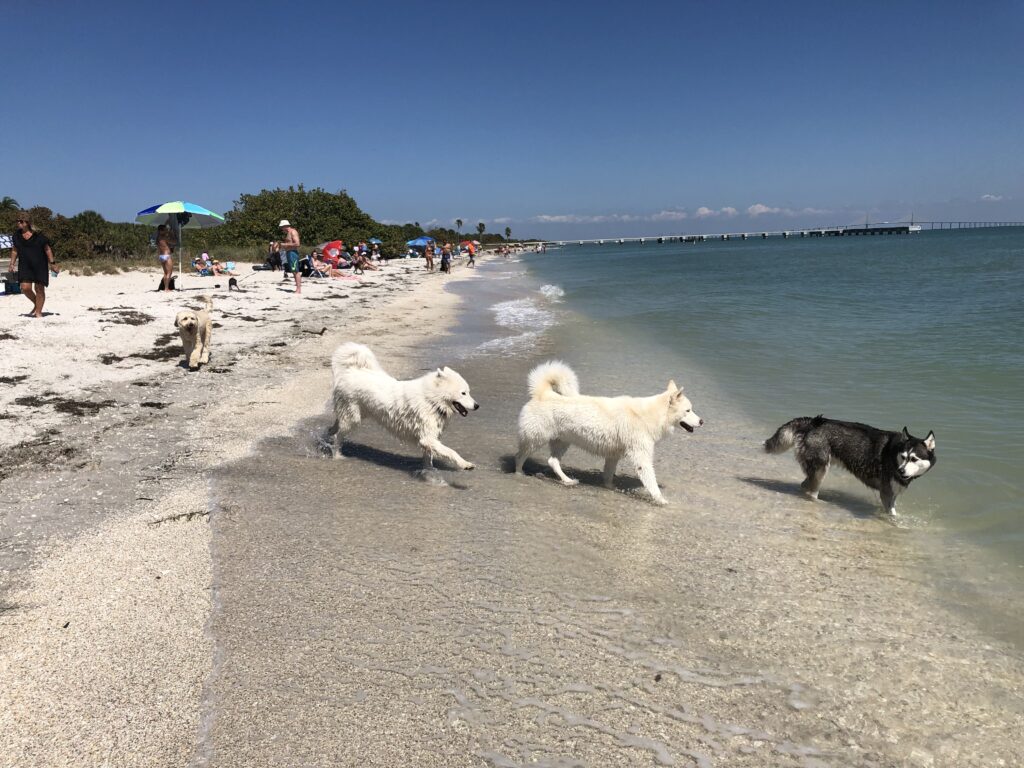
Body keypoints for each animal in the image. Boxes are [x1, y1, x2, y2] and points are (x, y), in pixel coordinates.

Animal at [331, 342, 483, 468]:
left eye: (468, 392)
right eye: (463, 393)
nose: (477, 406)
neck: (431, 400)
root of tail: (350, 371)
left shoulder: (428, 439)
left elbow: (429, 457)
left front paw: (428, 473)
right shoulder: (427, 438)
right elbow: (451, 451)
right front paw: (465, 464)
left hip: (353, 415)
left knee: (335, 427)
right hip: (353, 418)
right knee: (338, 436)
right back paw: (337, 455)